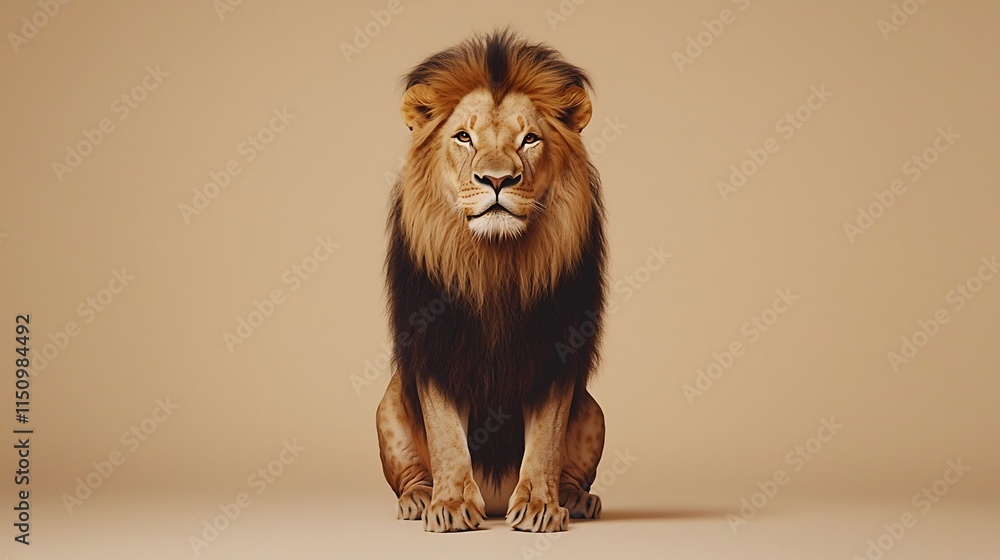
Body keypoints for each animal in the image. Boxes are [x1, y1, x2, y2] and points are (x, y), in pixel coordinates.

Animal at [377, 30, 607, 533]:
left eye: (530, 139)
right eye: (464, 137)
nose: (497, 179)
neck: (494, 264)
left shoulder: (555, 353)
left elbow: (545, 443)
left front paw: (540, 506)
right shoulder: (436, 349)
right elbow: (446, 436)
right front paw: (450, 505)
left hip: (594, 410)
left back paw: (575, 498)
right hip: (388, 405)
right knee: (411, 473)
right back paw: (417, 499)